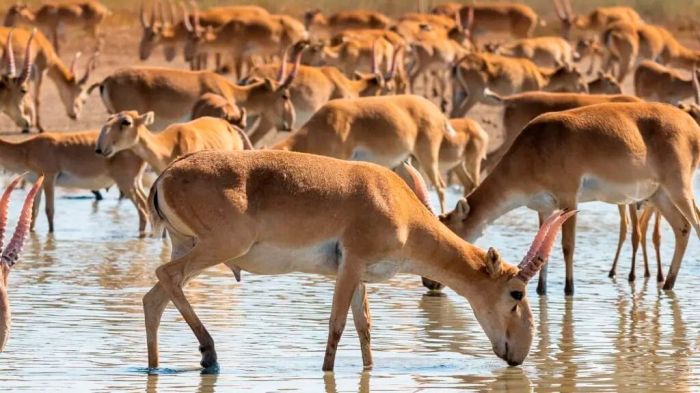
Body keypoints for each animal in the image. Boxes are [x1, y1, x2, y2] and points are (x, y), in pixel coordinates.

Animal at [144, 147, 576, 368]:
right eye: (516, 293)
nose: (519, 354)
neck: (398, 206)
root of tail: (166, 174)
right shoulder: (350, 266)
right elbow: (337, 326)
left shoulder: (362, 277)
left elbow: (364, 327)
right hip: (219, 247)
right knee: (165, 276)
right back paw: (210, 355)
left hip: (190, 246)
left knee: (154, 297)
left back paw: (157, 365)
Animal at [442, 102, 700, 292]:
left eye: (450, 231)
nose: (433, 284)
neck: (534, 148)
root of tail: (692, 126)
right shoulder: (544, 208)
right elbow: (542, 249)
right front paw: (541, 290)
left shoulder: (569, 200)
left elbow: (568, 246)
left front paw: (569, 289)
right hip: (660, 196)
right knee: (683, 228)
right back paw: (668, 284)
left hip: (679, 189)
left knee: (695, 224)